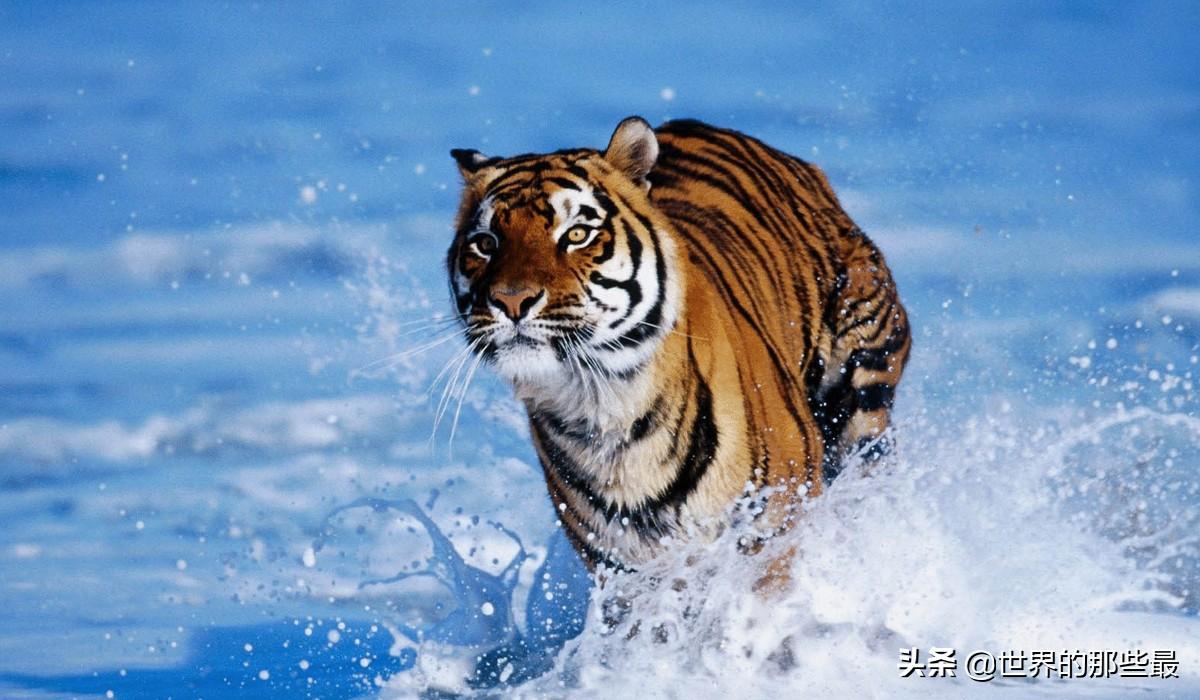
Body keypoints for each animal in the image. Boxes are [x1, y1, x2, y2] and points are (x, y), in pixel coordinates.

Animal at [447, 117, 910, 573]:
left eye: (577, 234)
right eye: (485, 243)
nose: (511, 300)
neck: (602, 407)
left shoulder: (773, 528)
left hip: (862, 390)